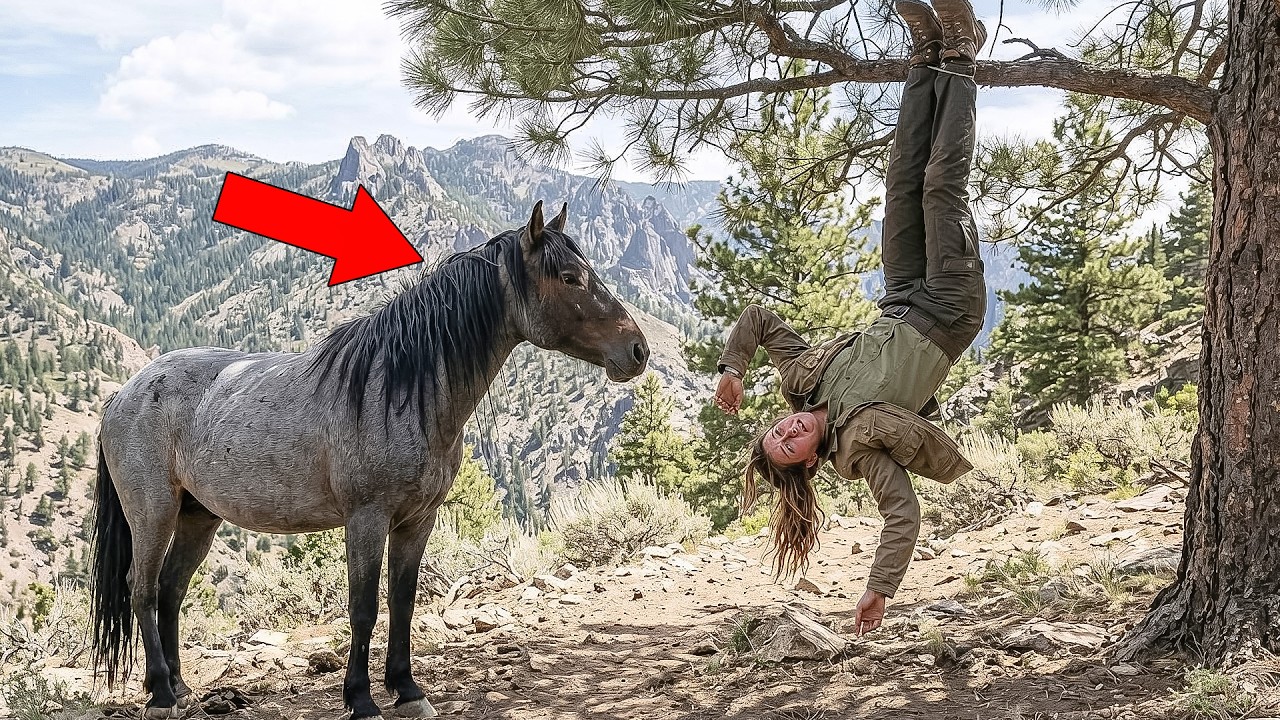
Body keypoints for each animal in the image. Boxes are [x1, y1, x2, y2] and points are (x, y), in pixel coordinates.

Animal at [89, 201, 650, 719]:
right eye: (569, 277)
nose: (638, 350)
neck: (398, 390)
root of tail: (124, 394)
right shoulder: (366, 519)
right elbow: (363, 608)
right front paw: (360, 699)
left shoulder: (417, 521)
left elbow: (403, 602)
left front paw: (408, 690)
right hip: (153, 513)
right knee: (141, 590)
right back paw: (161, 694)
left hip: (198, 517)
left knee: (169, 590)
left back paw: (181, 688)